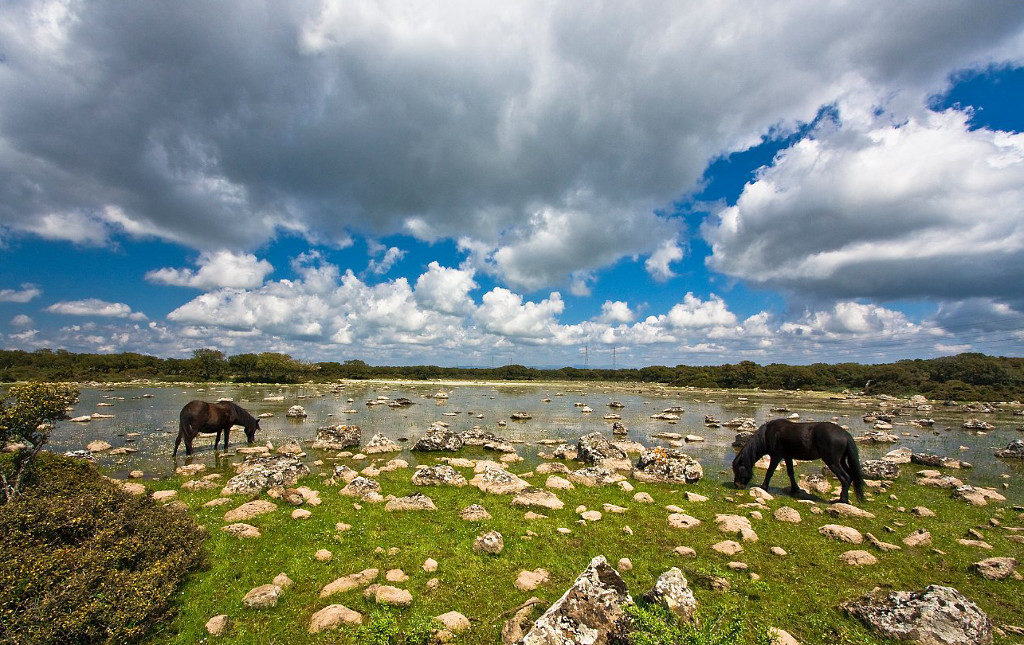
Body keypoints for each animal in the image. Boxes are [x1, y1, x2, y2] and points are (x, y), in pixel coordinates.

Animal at [733, 419, 868, 505]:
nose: (737, 485)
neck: (767, 434)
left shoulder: (776, 456)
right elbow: (790, 473)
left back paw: (842, 500)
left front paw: (763, 487)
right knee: (850, 476)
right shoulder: (787, 456)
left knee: (845, 478)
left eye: (738, 470)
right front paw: (795, 489)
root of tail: (845, 435)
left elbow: (770, 471)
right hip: (841, 461)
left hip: (833, 462)